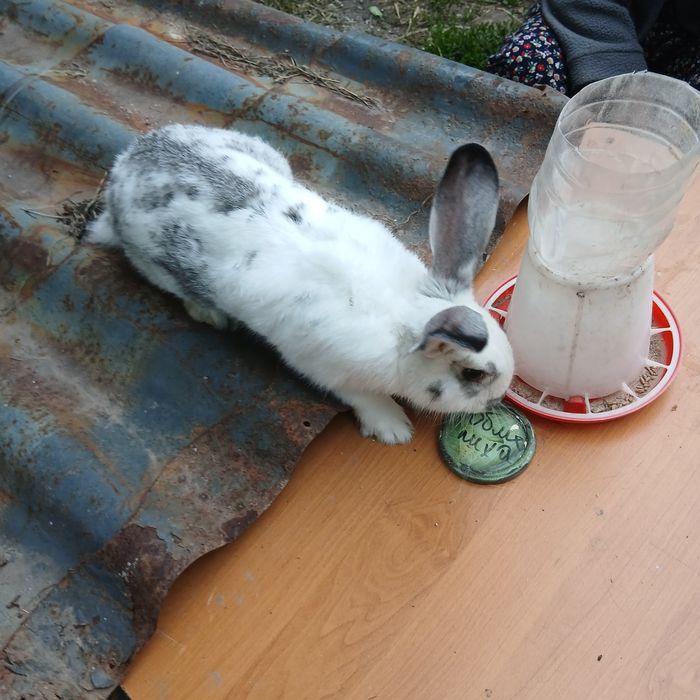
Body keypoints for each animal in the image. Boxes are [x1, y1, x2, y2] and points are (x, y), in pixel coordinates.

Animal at [87, 124, 514, 444]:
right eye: (473, 375)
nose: (496, 402)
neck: (403, 316)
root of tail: (123, 167)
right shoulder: (325, 368)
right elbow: (364, 398)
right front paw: (394, 429)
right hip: (152, 262)